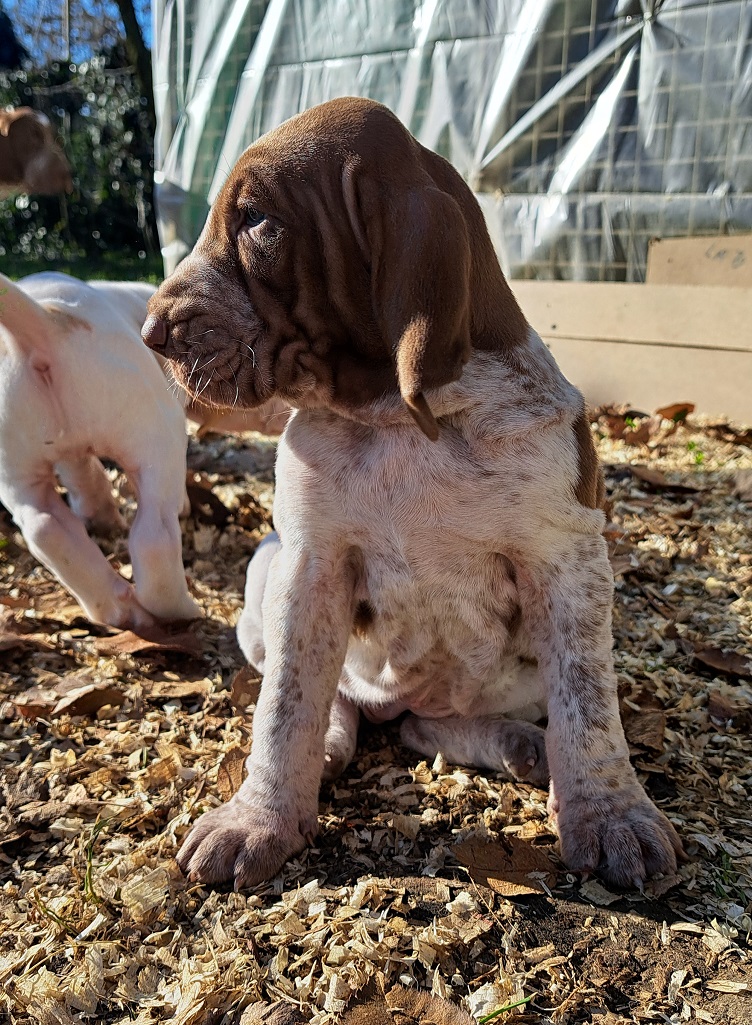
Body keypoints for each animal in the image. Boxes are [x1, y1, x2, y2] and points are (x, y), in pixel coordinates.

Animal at [0, 272, 199, 629]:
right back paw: (183, 610)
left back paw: (120, 611)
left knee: (44, 526)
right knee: (154, 534)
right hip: (154, 432)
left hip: (15, 465)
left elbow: (83, 474)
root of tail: (42, 324)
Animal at [143, 97, 683, 890]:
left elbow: (588, 706)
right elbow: (286, 704)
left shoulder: (569, 564)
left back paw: (519, 744)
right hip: (262, 577)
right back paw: (342, 741)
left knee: (431, 726)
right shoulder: (308, 565)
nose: (150, 333)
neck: (397, 416)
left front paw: (612, 815)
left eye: (257, 220)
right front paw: (259, 819)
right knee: (339, 700)